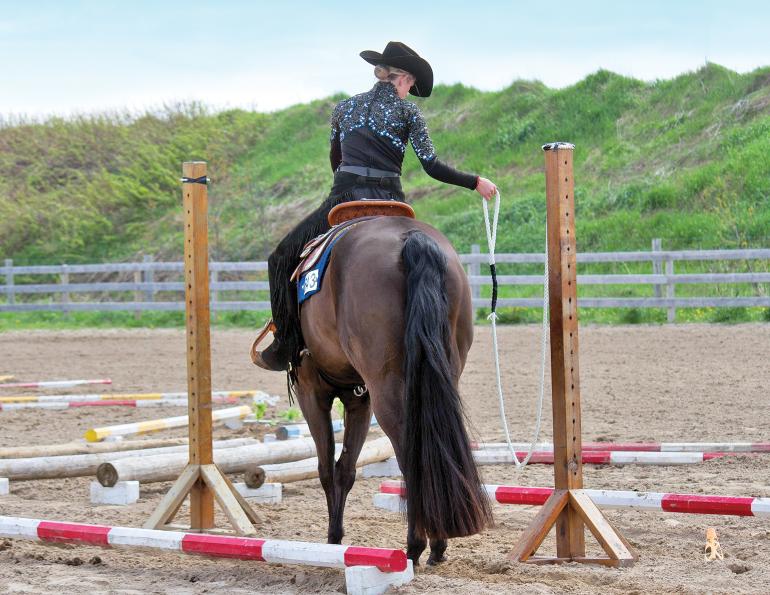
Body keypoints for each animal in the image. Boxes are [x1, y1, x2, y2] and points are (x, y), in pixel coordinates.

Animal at [291, 214, 492, 565]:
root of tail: (412, 238)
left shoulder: (311, 393)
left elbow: (327, 468)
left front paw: (332, 540)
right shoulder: (360, 399)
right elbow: (345, 469)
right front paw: (336, 538)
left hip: (384, 388)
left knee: (409, 456)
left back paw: (415, 545)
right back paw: (437, 544)